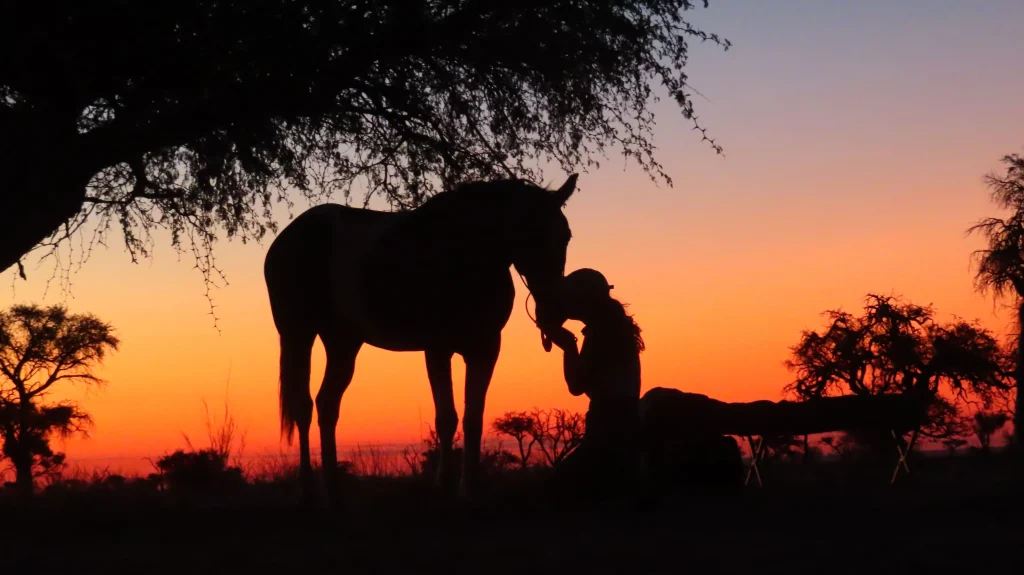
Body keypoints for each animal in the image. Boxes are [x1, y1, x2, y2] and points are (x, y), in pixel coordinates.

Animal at [264, 175, 579, 504]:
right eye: (531, 234)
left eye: (565, 237)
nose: (553, 306)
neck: (465, 253)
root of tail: (286, 240)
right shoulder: (438, 349)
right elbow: (447, 418)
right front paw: (444, 484)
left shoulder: (486, 348)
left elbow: (473, 417)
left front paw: (470, 487)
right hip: (298, 334)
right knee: (303, 406)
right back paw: (308, 489)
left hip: (343, 343)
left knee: (327, 404)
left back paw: (333, 488)